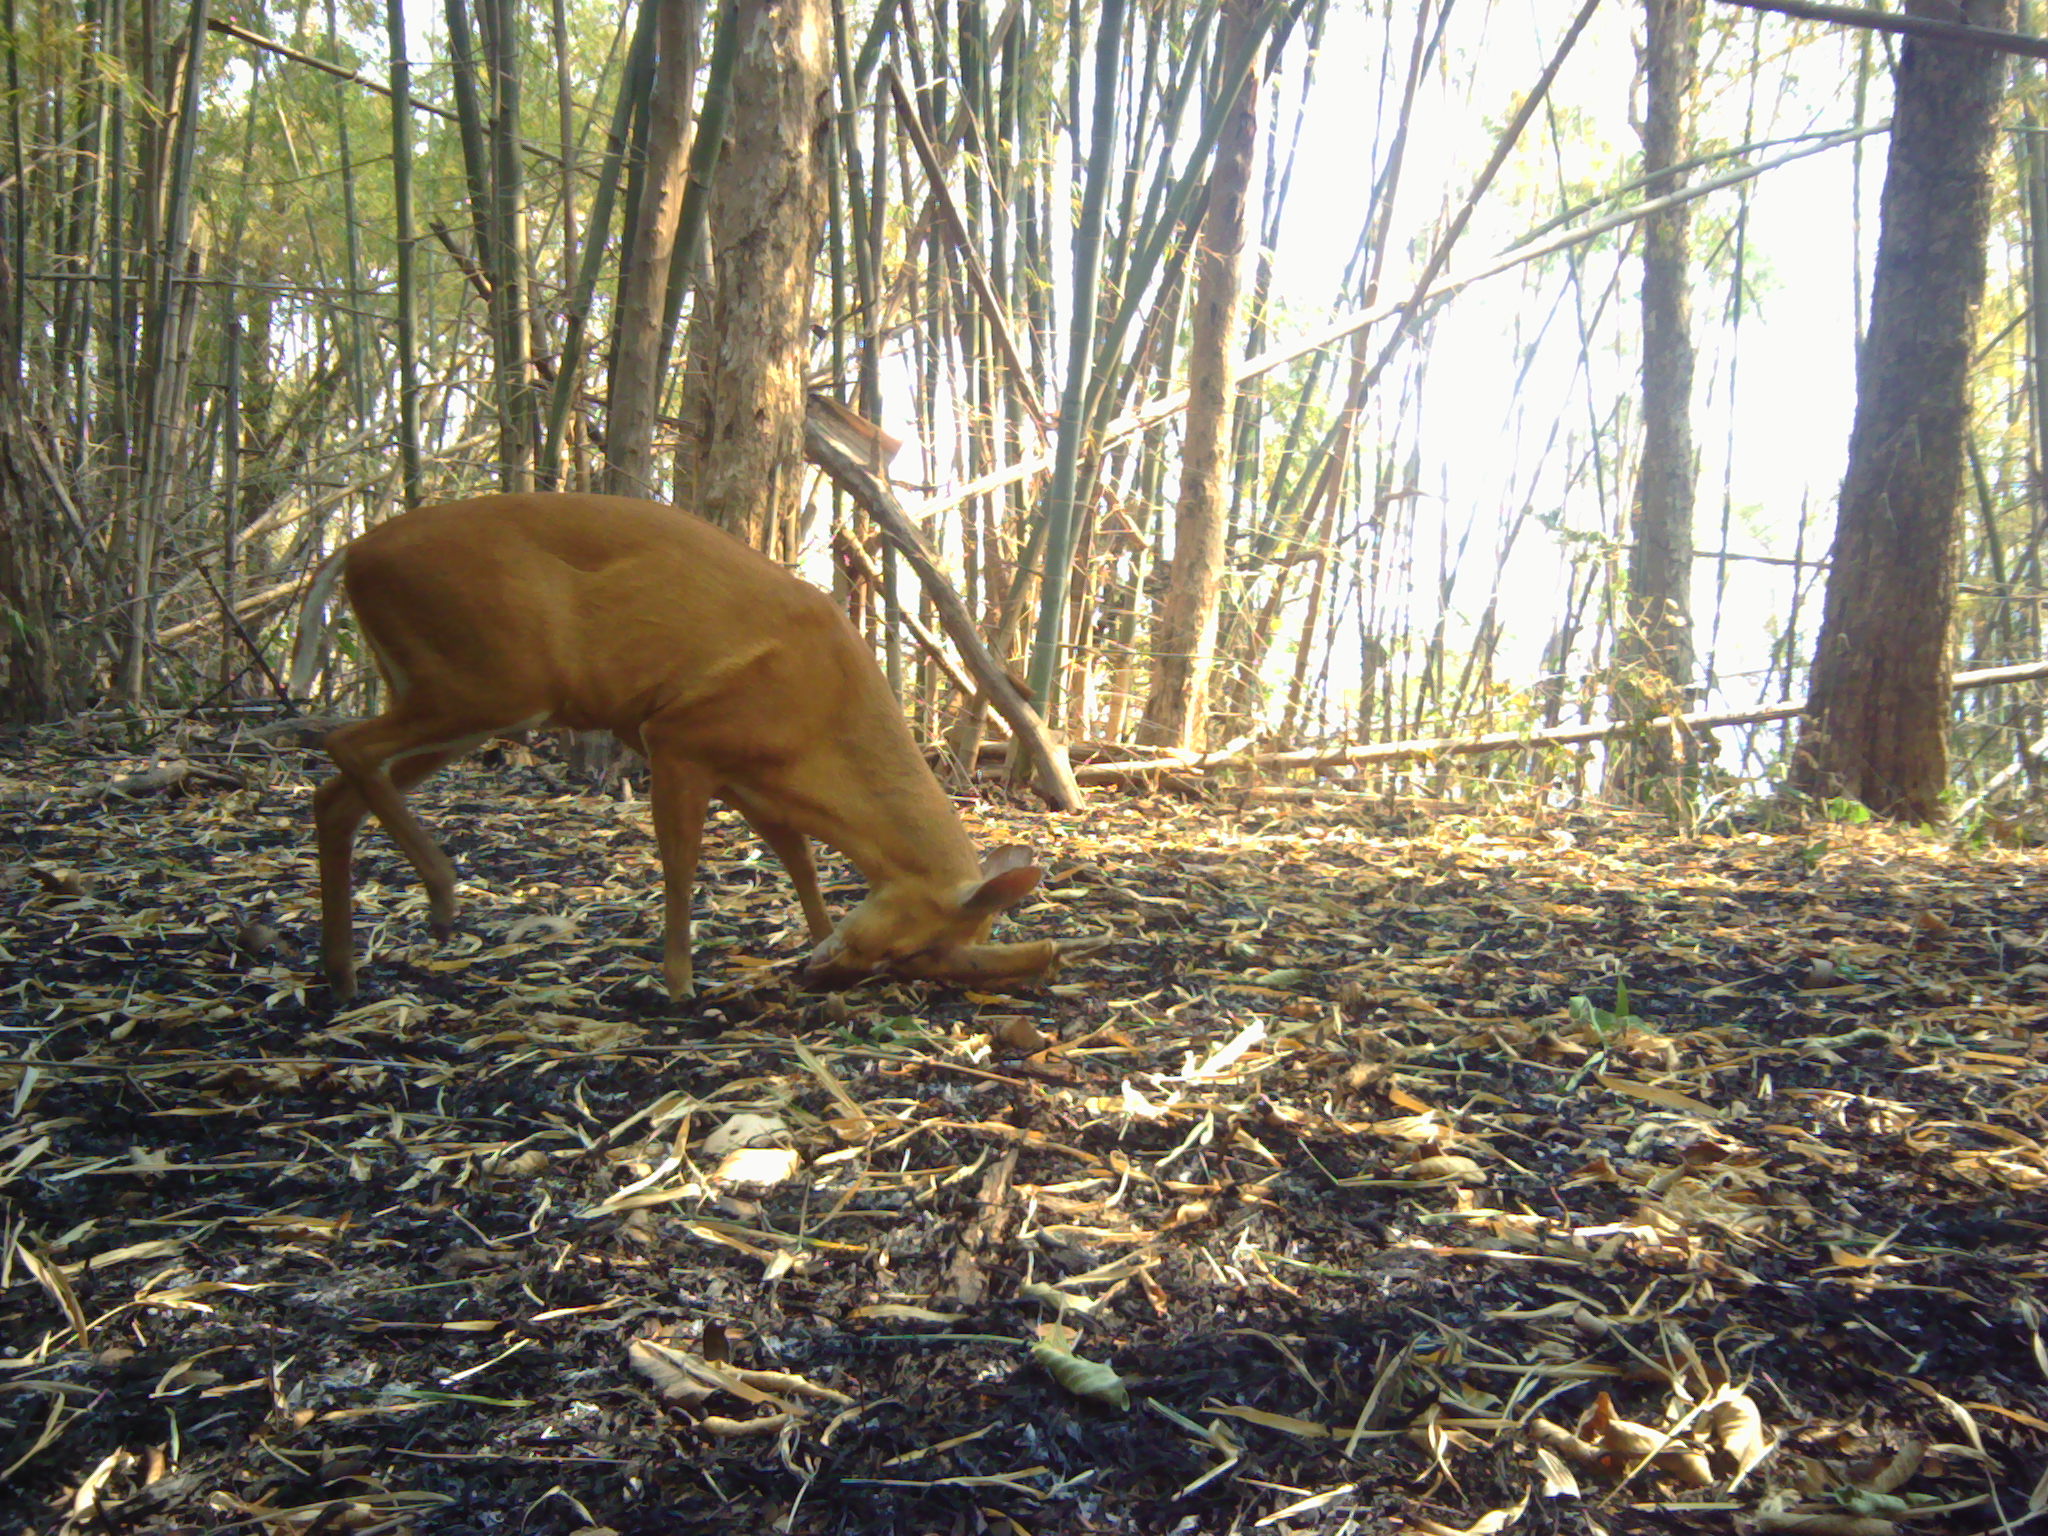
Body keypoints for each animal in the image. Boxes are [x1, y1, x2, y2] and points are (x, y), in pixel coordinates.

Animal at [289, 492, 1106, 1002]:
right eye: (914, 949)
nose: (826, 978)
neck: (825, 717)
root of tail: (350, 555)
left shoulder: (753, 780)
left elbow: (801, 866)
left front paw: (808, 937)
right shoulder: (678, 735)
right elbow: (682, 865)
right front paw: (680, 982)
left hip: (453, 693)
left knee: (336, 793)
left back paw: (342, 972)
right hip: (486, 679)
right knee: (343, 744)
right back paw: (439, 898)